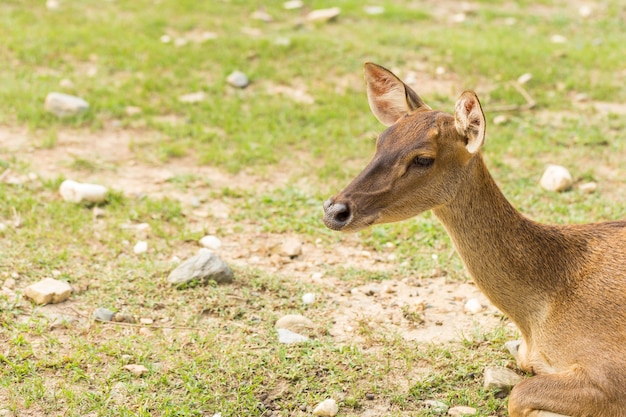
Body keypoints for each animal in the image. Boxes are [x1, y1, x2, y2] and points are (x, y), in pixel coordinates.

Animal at [322, 62, 624, 416]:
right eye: (379, 141)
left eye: (423, 158)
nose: (335, 210)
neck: (538, 315)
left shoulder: (610, 372)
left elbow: (518, 395)